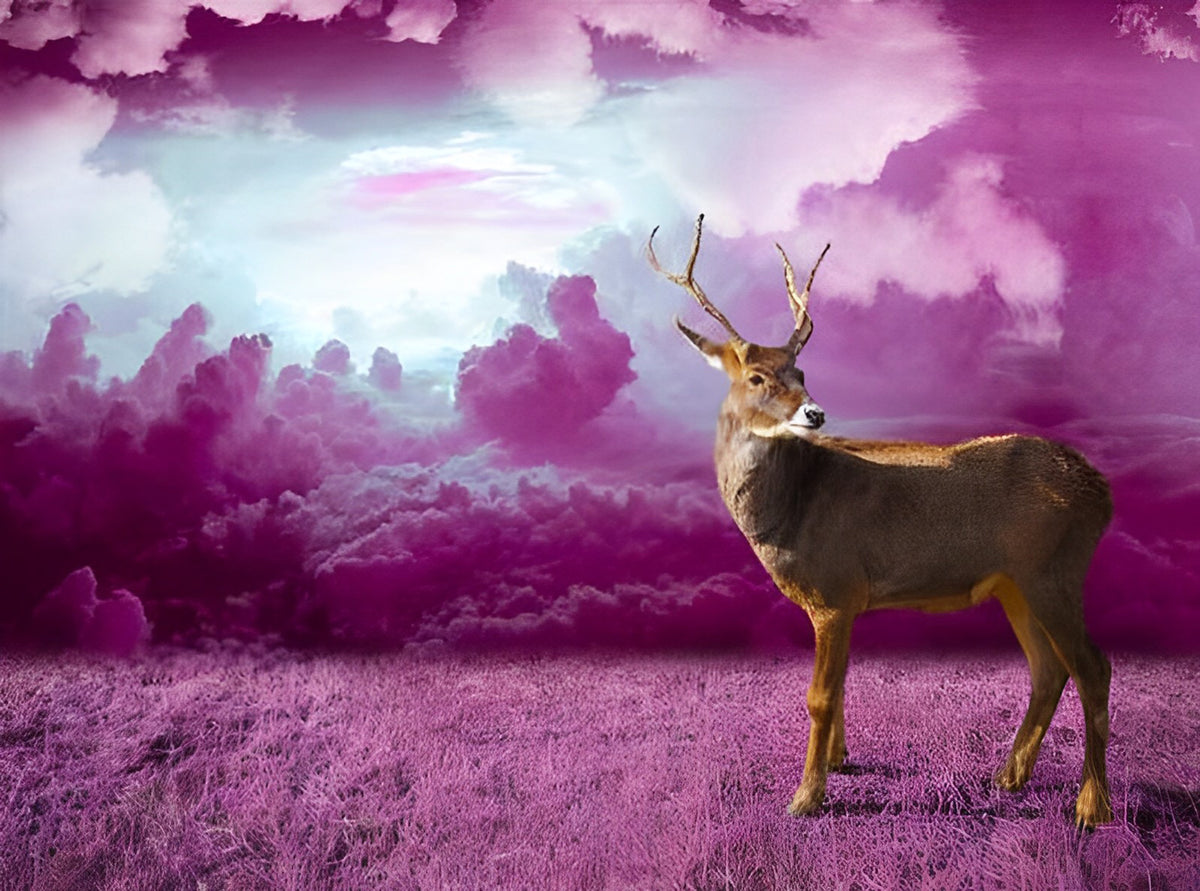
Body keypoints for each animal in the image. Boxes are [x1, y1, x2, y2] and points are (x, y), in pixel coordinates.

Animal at [648, 214, 1114, 828]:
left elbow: (819, 696)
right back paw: (1009, 776)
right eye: (755, 377)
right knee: (1048, 669)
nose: (815, 412)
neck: (790, 508)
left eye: (800, 369)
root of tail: (1102, 492)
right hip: (1017, 582)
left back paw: (1092, 806)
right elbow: (841, 684)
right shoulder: (843, 600)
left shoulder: (835, 587)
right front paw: (839, 761)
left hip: (1054, 570)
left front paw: (806, 796)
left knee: (1093, 668)